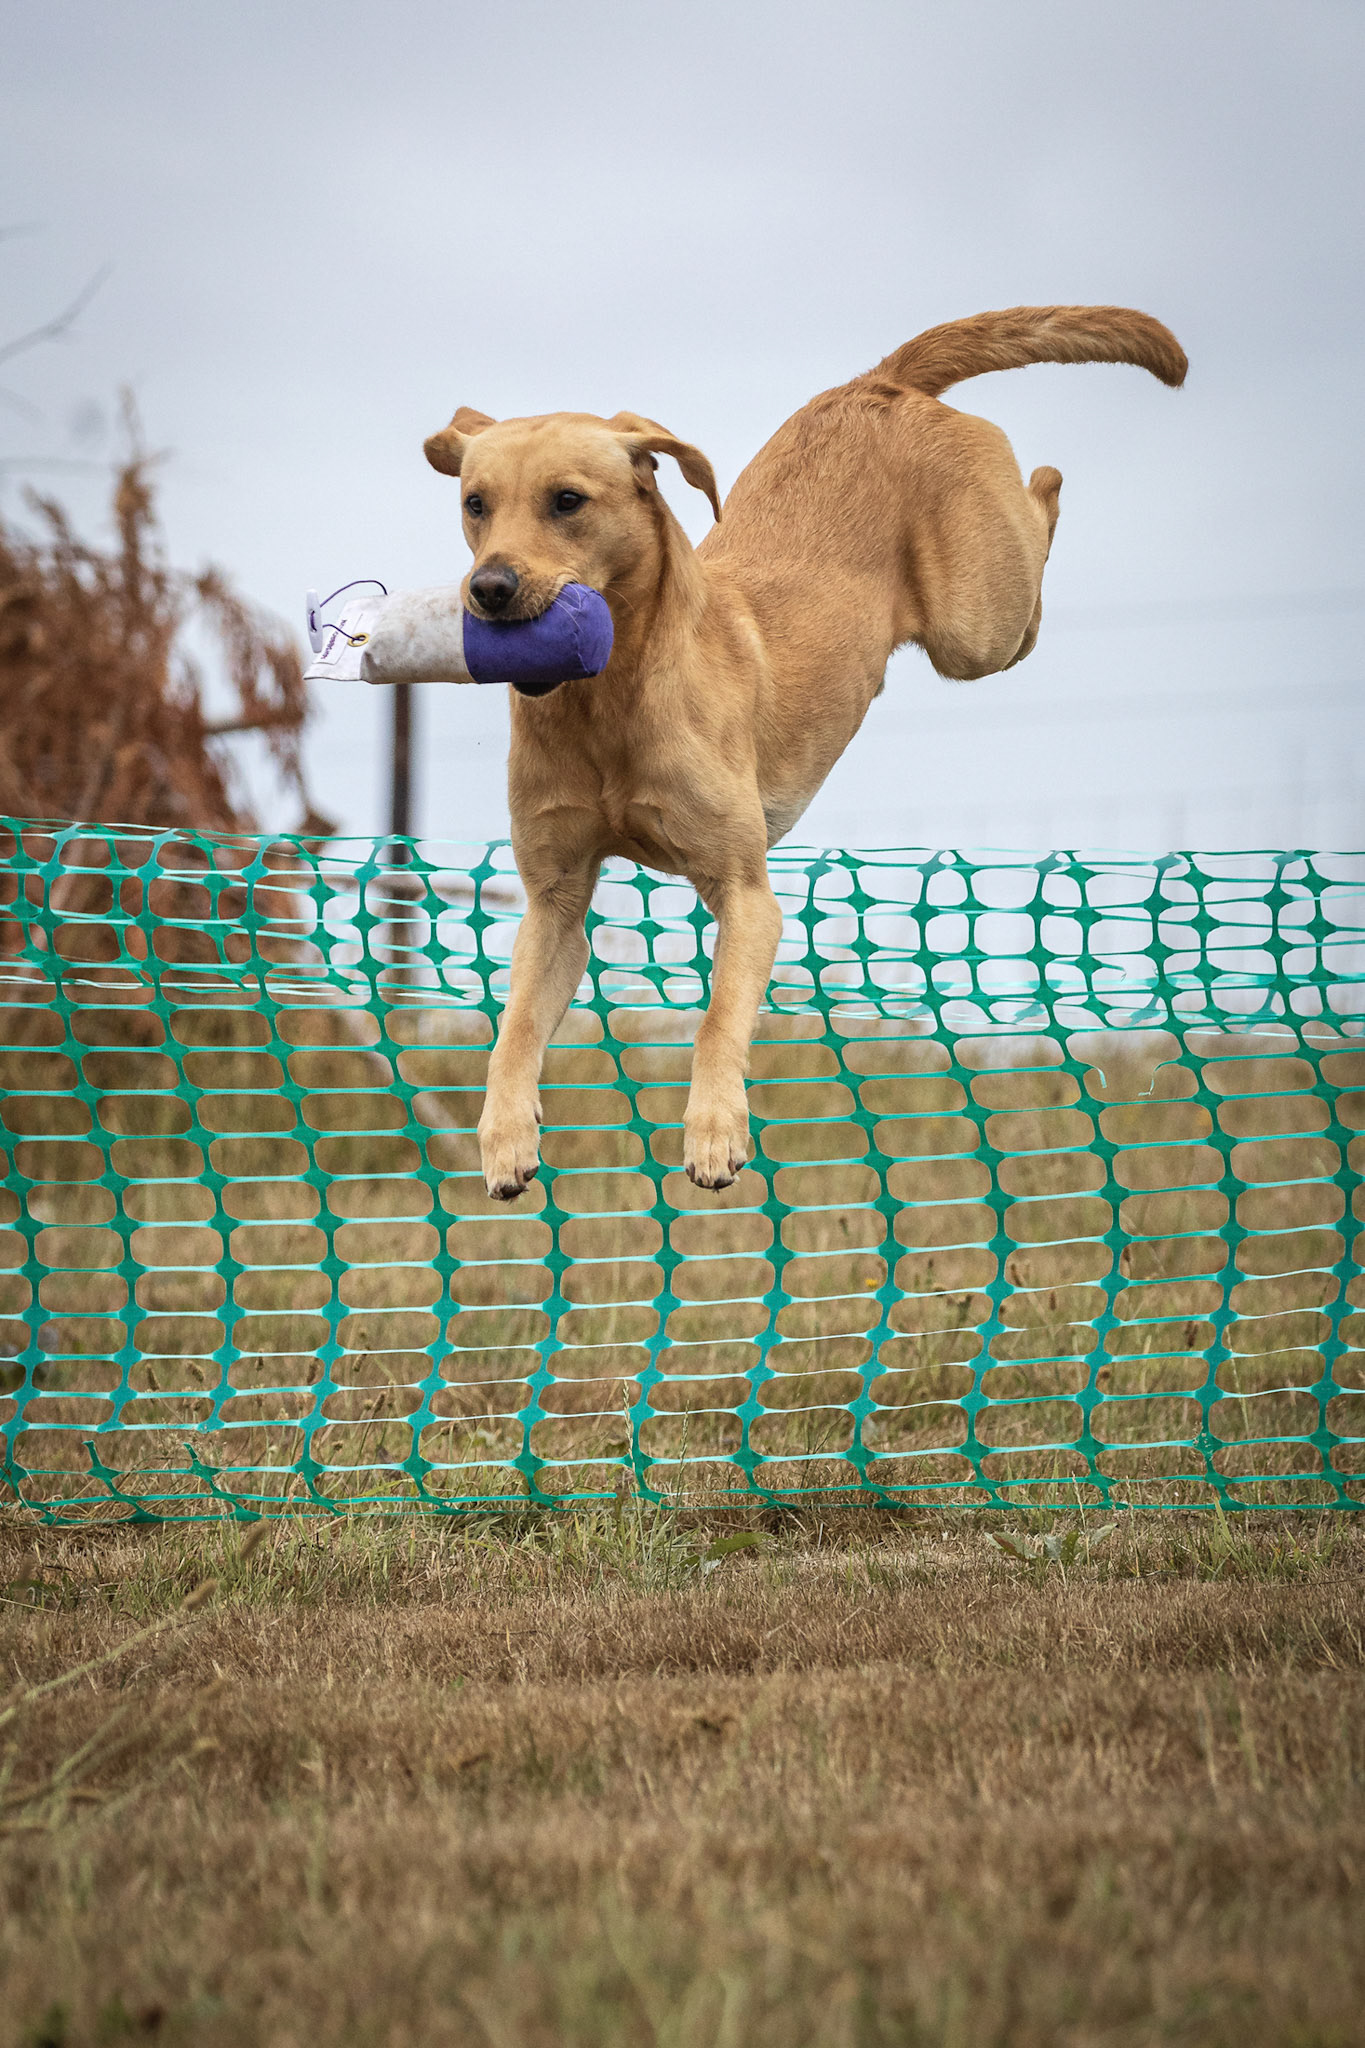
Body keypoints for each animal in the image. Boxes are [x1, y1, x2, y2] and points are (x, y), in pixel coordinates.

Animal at [423, 304, 1186, 1200]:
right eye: (475, 504)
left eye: (567, 500)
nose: (489, 589)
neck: (605, 705)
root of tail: (877, 382)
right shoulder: (555, 902)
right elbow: (512, 1032)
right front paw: (504, 1137)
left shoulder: (744, 891)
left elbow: (719, 1018)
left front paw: (714, 1132)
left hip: (977, 624)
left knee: (1040, 502)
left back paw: (1049, 479)